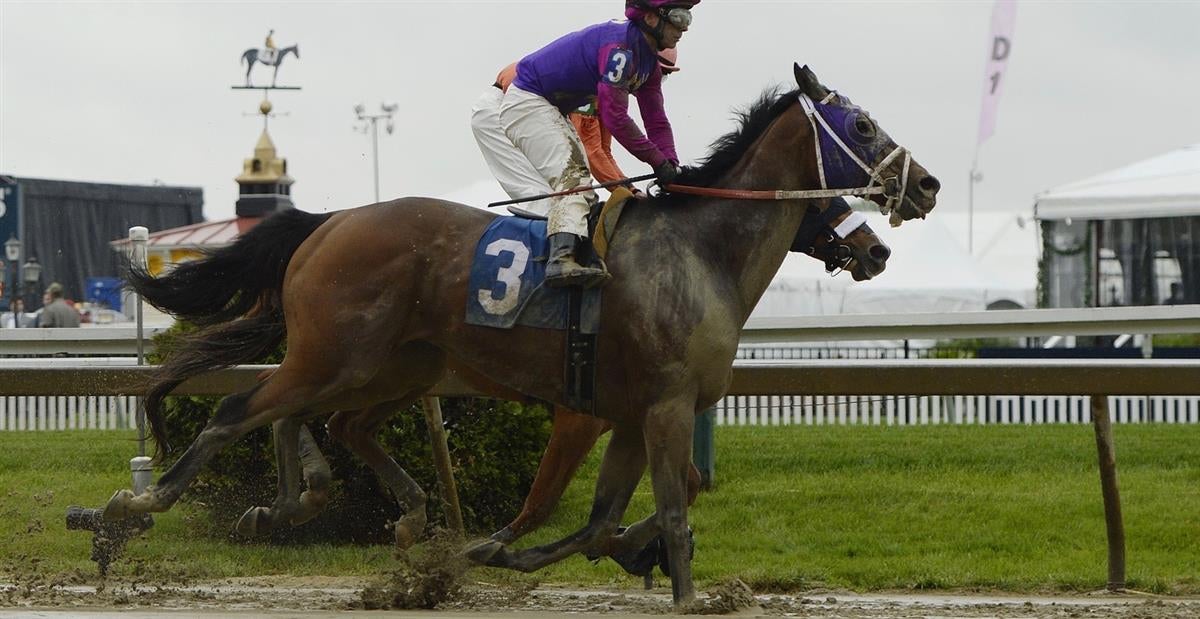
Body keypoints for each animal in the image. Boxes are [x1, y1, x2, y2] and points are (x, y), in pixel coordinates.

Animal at [105, 63, 938, 608]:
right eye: (862, 126)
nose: (924, 187)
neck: (700, 251)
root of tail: (330, 220)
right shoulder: (650, 408)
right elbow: (655, 504)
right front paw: (679, 583)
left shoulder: (629, 415)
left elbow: (607, 518)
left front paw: (574, 550)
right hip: (338, 353)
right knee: (240, 409)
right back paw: (137, 506)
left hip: (390, 365)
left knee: (325, 420)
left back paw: (344, 508)